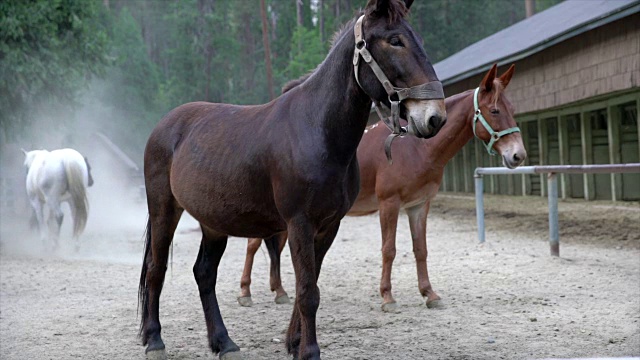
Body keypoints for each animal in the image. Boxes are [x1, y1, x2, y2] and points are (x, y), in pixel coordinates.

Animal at [136, 1, 444, 358]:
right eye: (395, 41)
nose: (435, 117)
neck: (317, 131)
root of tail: (165, 126)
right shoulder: (299, 222)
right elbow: (308, 290)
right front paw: (309, 350)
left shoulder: (328, 226)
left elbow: (308, 285)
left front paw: (293, 342)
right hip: (164, 209)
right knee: (156, 269)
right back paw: (155, 339)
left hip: (213, 221)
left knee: (204, 273)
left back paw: (223, 342)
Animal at [239, 64, 524, 312]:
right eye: (495, 110)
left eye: (512, 108)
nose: (518, 155)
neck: (415, 149)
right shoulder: (390, 204)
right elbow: (389, 250)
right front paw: (387, 297)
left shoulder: (418, 206)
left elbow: (421, 250)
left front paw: (429, 294)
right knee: (253, 245)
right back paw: (246, 292)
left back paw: (280, 291)